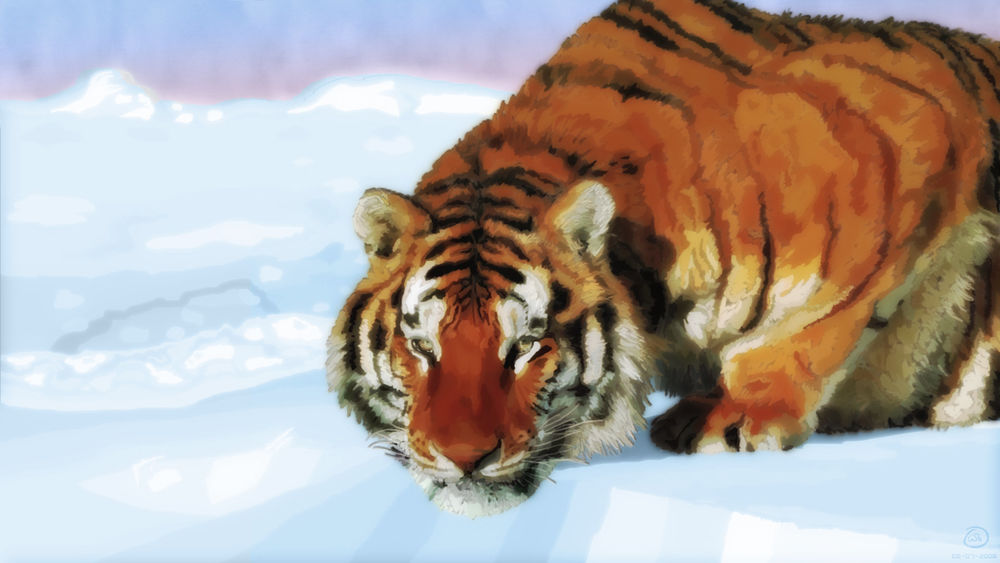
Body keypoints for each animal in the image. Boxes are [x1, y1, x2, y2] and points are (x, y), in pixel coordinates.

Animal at [327, 0, 1000, 517]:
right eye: (421, 346)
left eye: (525, 346)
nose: (464, 458)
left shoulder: (907, 147)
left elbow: (801, 332)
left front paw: (730, 419)